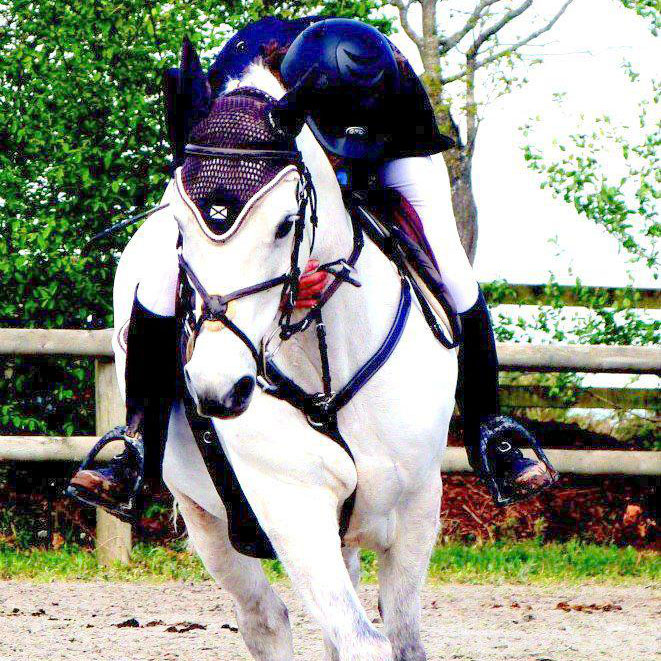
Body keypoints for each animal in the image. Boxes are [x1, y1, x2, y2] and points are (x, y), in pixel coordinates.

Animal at [111, 63, 456, 660]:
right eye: (179, 224)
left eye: (285, 223)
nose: (218, 389)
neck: (326, 363)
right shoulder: (292, 505)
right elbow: (361, 640)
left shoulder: (416, 506)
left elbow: (402, 637)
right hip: (207, 518)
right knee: (265, 620)